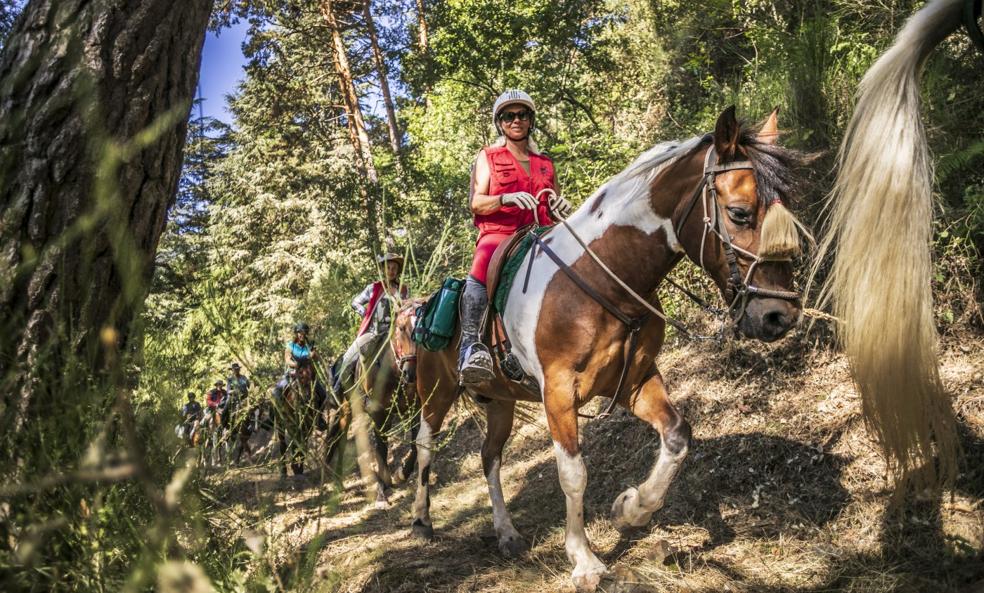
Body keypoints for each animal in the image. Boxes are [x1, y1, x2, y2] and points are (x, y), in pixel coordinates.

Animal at [402, 107, 808, 592]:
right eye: (740, 213)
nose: (779, 315)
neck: (601, 278)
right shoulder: (558, 393)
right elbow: (574, 474)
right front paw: (585, 560)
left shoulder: (634, 380)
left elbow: (677, 437)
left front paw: (631, 509)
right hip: (436, 391)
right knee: (425, 445)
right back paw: (421, 521)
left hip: (500, 402)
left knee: (490, 458)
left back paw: (506, 532)